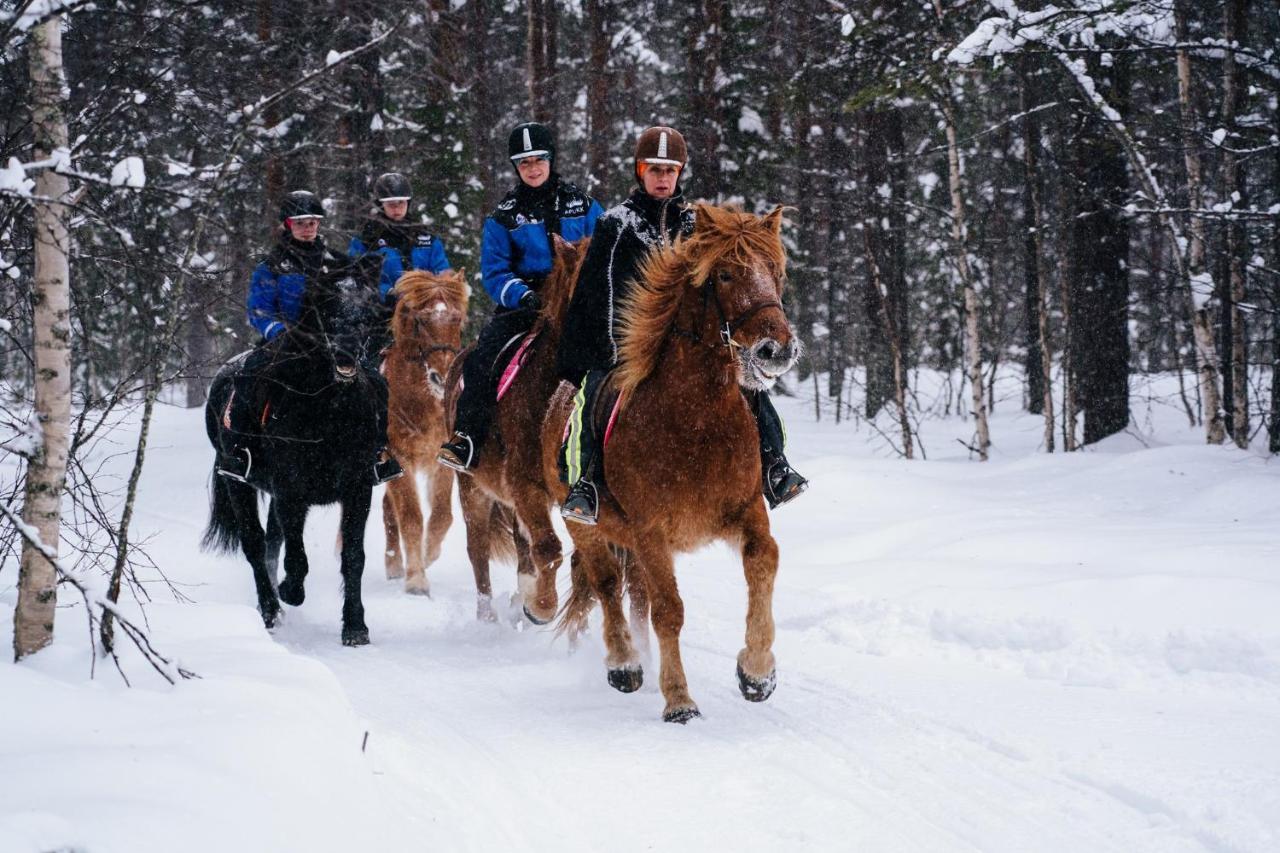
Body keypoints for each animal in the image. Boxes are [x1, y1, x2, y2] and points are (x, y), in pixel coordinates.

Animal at [200, 256, 384, 640]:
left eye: (368, 311)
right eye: (328, 309)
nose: (346, 354)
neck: (328, 411)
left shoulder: (358, 489)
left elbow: (353, 557)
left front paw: (355, 626)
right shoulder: (292, 492)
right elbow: (296, 557)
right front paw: (291, 591)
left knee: (271, 542)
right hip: (237, 481)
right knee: (255, 544)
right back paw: (270, 609)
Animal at [381, 268, 478, 594]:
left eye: (458, 318)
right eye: (421, 320)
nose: (442, 377)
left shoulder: (441, 458)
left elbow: (441, 517)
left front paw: (427, 555)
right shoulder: (400, 457)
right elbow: (411, 517)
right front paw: (416, 579)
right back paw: (395, 565)